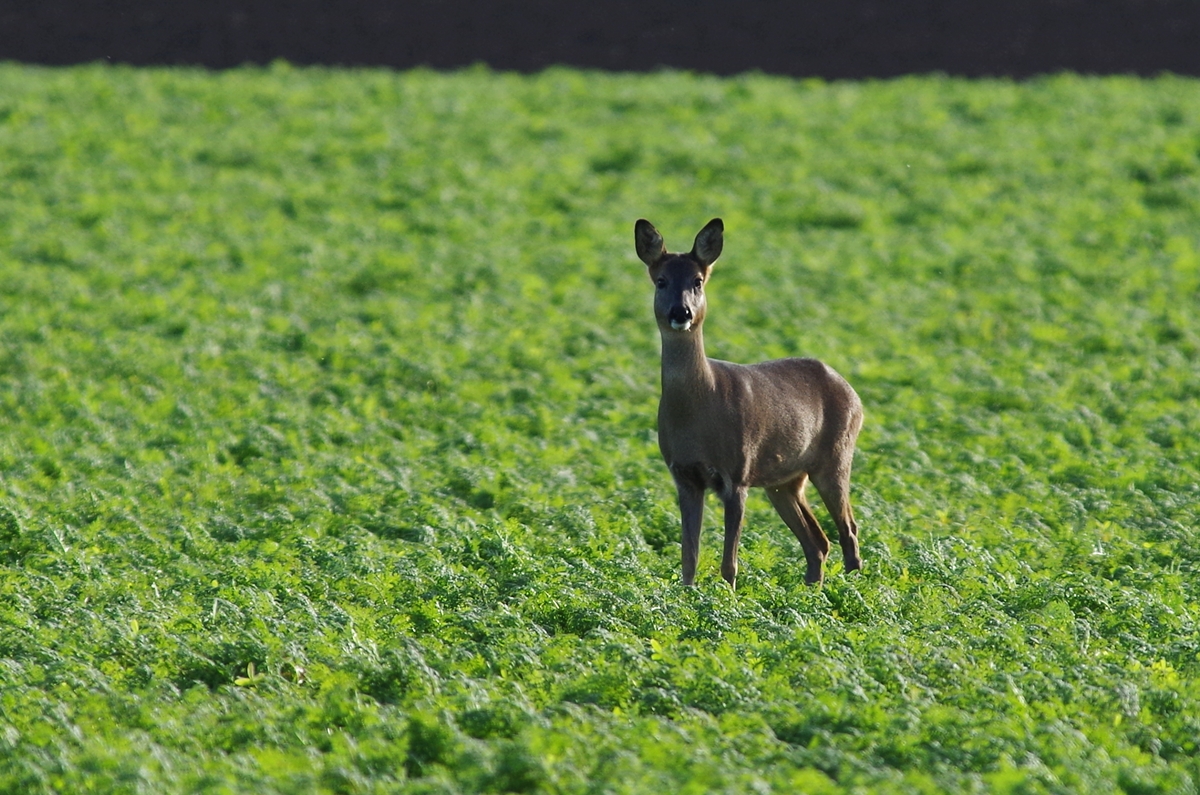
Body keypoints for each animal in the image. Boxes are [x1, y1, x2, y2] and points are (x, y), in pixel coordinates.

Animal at [638, 218, 864, 590]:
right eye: (661, 280)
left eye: (698, 281)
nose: (681, 312)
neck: (699, 408)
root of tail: (853, 393)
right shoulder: (684, 476)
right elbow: (689, 558)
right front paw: (688, 596)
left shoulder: (737, 474)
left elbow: (729, 563)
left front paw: (727, 597)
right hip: (784, 480)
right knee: (818, 541)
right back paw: (811, 591)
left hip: (835, 457)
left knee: (848, 530)